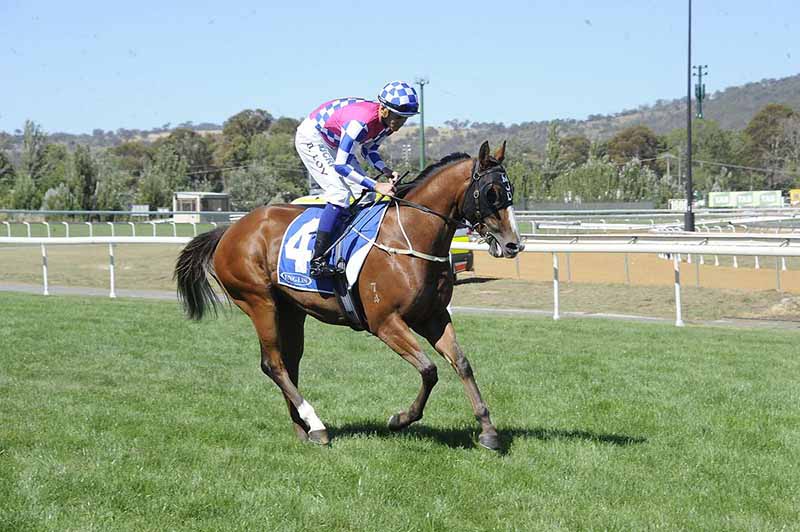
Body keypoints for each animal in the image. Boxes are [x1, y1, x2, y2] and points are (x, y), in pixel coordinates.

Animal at [173, 140, 524, 448]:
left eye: (510, 192)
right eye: (491, 193)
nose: (513, 244)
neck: (409, 237)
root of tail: (229, 231)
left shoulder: (433, 316)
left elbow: (462, 364)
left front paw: (488, 431)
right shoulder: (385, 323)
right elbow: (429, 370)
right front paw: (400, 419)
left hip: (290, 309)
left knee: (289, 363)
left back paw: (302, 429)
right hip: (259, 302)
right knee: (273, 364)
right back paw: (316, 424)